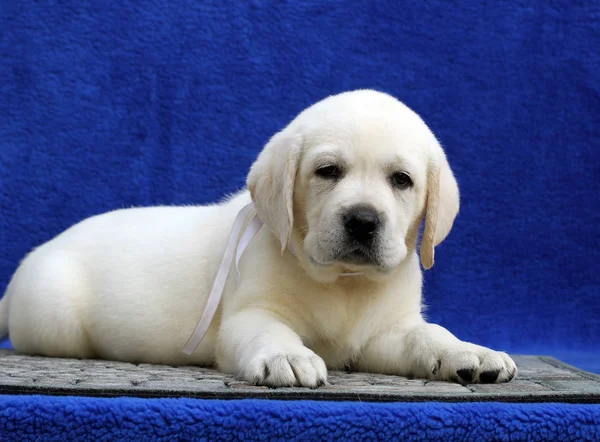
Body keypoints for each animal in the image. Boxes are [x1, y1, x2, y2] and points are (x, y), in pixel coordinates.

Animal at [0, 90, 516, 386]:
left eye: (402, 180)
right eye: (328, 171)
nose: (363, 220)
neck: (342, 283)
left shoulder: (383, 334)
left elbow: (427, 335)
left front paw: (467, 351)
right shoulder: (247, 316)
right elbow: (269, 330)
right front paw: (288, 355)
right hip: (54, 319)